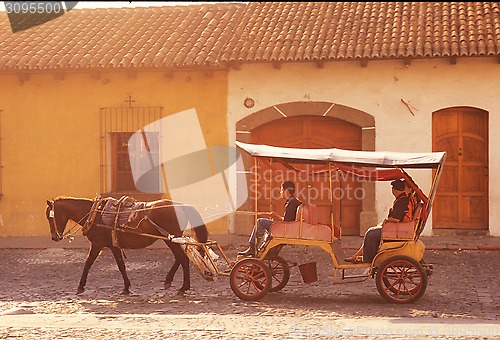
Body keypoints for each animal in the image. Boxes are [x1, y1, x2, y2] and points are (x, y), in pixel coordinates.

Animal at [46, 197, 209, 294]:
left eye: (50, 216)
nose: (54, 237)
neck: (94, 214)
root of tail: (181, 205)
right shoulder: (112, 246)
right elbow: (120, 265)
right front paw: (126, 287)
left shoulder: (99, 244)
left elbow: (89, 264)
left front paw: (80, 287)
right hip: (171, 238)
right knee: (179, 258)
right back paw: (169, 281)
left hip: (170, 238)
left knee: (183, 259)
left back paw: (183, 287)